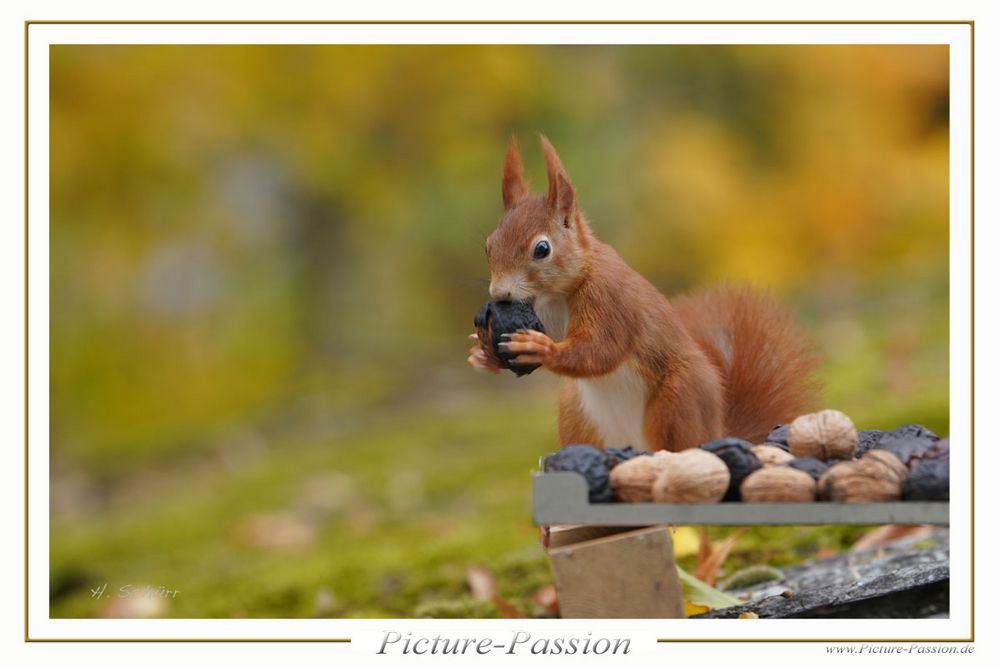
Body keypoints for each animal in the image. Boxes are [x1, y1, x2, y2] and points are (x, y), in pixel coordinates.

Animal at [468, 133, 820, 452]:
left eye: (542, 249)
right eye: (488, 246)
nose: (499, 293)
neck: (558, 294)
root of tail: (717, 431)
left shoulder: (609, 299)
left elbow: (601, 349)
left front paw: (540, 348)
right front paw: (481, 353)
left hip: (678, 396)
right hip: (574, 410)